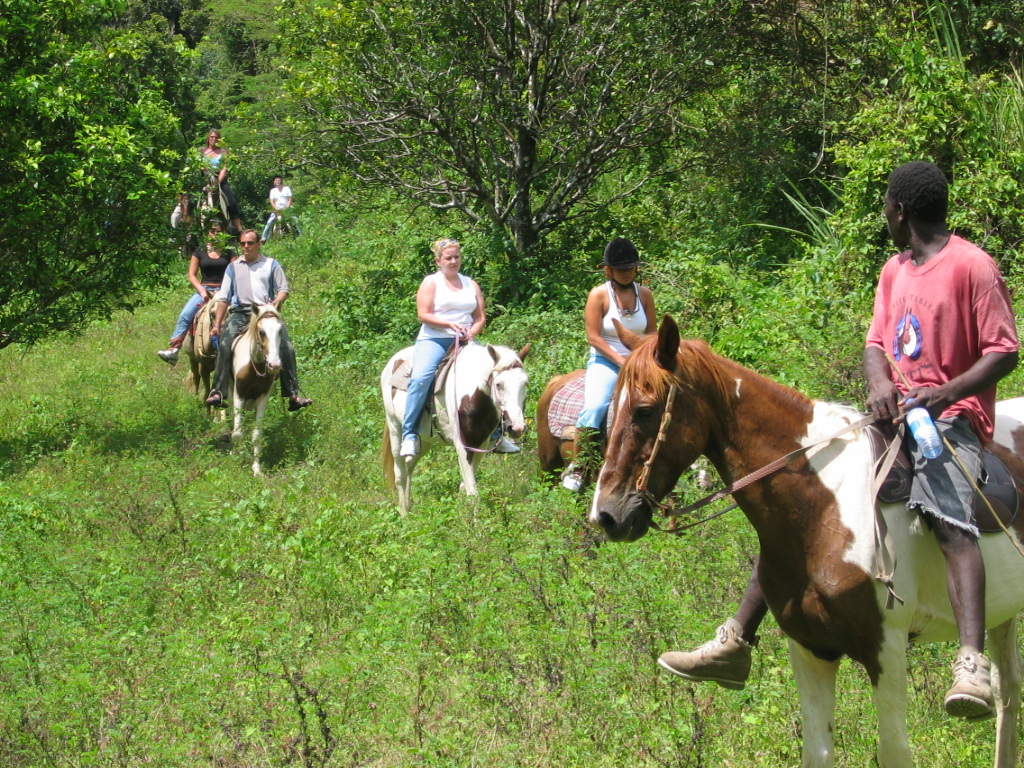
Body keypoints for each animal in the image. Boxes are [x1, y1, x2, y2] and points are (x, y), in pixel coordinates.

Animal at [227, 305, 284, 475]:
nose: (274, 364)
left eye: (280, 330)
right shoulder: (238, 395)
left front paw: (256, 469)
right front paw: (238, 456)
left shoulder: (263, 398)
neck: (255, 368)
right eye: (262, 332)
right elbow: (238, 433)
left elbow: (257, 435)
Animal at [380, 342, 532, 518]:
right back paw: (404, 516)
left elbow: (464, 487)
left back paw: (409, 509)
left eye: (525, 383)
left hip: (424, 441)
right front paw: (474, 524)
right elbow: (473, 493)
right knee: (400, 474)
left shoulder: (480, 445)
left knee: (409, 465)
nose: (517, 427)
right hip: (395, 428)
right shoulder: (463, 446)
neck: (472, 396)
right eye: (499, 384)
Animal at [589, 313, 1024, 768]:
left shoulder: (885, 647)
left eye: (645, 410)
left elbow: (893, 749)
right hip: (1002, 610)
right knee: (1009, 692)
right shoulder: (809, 647)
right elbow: (817, 750)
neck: (825, 504)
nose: (607, 515)